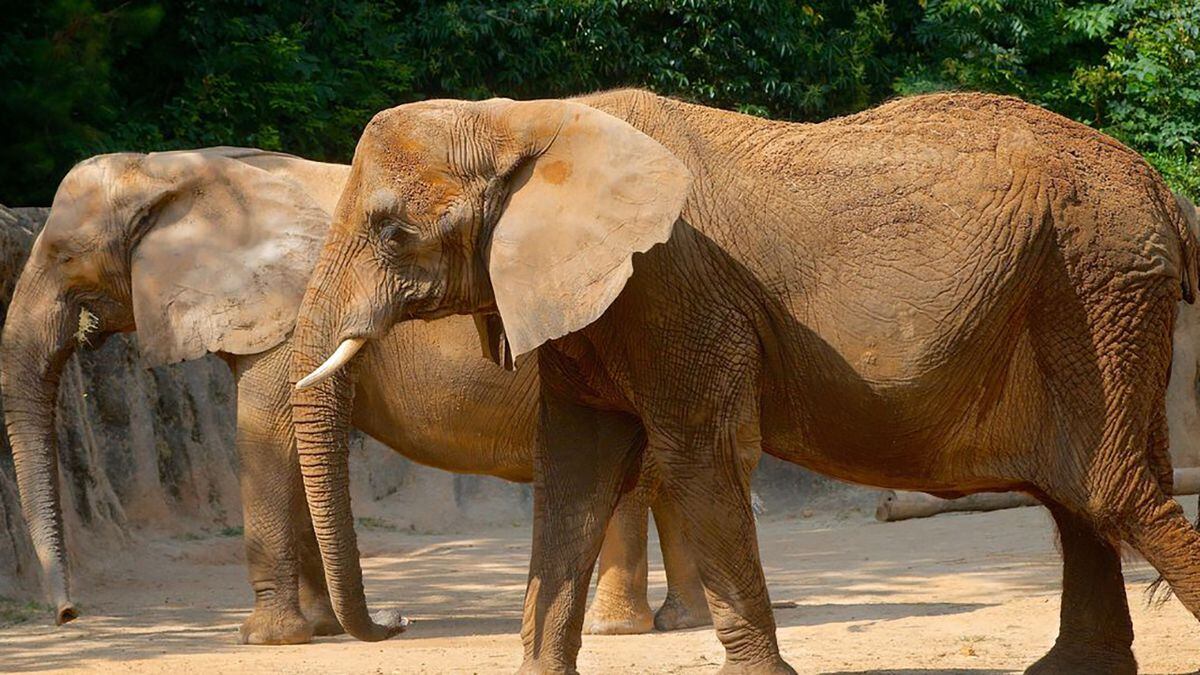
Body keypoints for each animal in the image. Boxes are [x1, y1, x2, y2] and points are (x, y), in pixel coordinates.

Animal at [0, 147, 709, 645]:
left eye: (63, 258)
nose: (67, 614)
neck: (172, 168)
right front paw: (319, 629)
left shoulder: (283, 312)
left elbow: (267, 434)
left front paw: (266, 639)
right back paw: (680, 621)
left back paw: (616, 629)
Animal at [292, 89, 1200, 674]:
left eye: (394, 231)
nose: (398, 620)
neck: (527, 118)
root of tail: (1164, 190)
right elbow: (573, 476)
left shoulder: (670, 283)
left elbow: (700, 459)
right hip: (1084, 293)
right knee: (1078, 492)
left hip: (1096, 286)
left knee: (1112, 489)